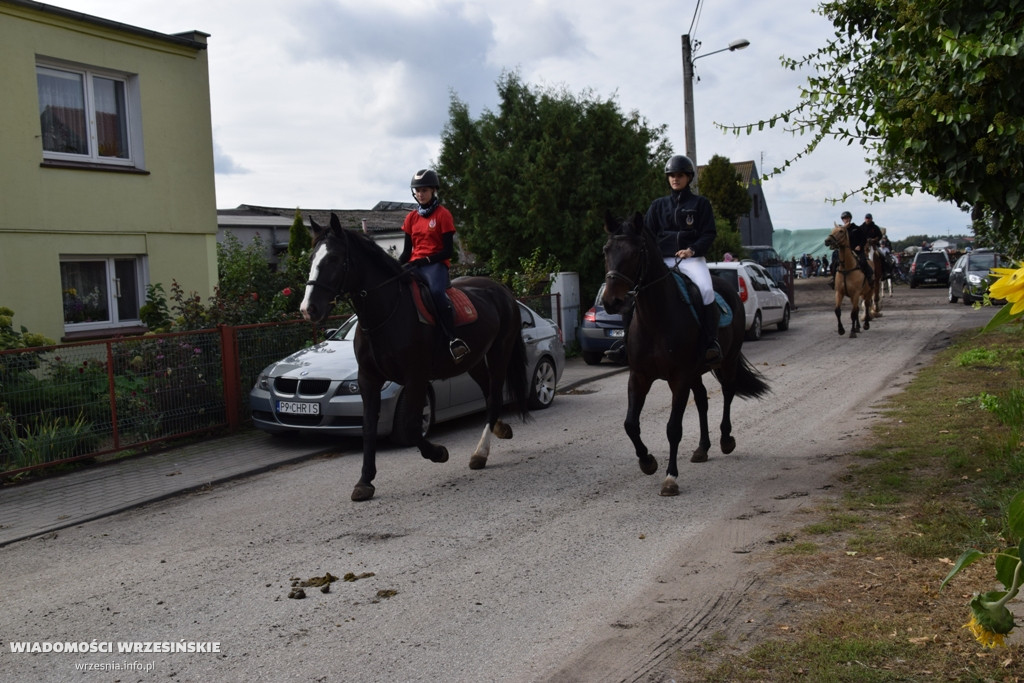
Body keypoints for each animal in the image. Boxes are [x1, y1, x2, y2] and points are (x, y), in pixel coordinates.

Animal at [300, 213, 531, 502]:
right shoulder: (368, 379)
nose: (308, 309)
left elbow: (410, 427)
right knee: (489, 394)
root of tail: (500, 289)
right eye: (311, 259)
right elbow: (368, 428)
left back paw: (480, 453)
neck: (385, 313)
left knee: (495, 396)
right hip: (474, 360)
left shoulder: (415, 377)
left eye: (333, 259)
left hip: (500, 351)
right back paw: (499, 429)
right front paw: (365, 481)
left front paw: (438, 452)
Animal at [601, 212, 771, 496]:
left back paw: (726, 440)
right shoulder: (639, 376)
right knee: (702, 400)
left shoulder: (678, 377)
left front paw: (670, 478)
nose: (611, 301)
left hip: (727, 361)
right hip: (696, 372)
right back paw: (702, 448)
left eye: (636, 252)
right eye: (606, 250)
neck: (655, 318)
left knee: (728, 392)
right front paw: (647, 461)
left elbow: (673, 428)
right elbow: (630, 424)